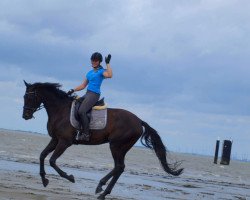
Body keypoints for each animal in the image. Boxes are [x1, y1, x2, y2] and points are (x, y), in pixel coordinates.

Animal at [22, 81, 183, 200]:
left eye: (29, 97)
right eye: (24, 96)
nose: (25, 115)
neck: (61, 111)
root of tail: (139, 121)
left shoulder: (64, 142)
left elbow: (52, 161)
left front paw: (70, 177)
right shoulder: (55, 139)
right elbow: (42, 156)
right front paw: (44, 180)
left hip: (117, 146)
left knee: (119, 167)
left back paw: (102, 189)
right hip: (120, 147)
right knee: (119, 168)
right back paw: (102, 190)